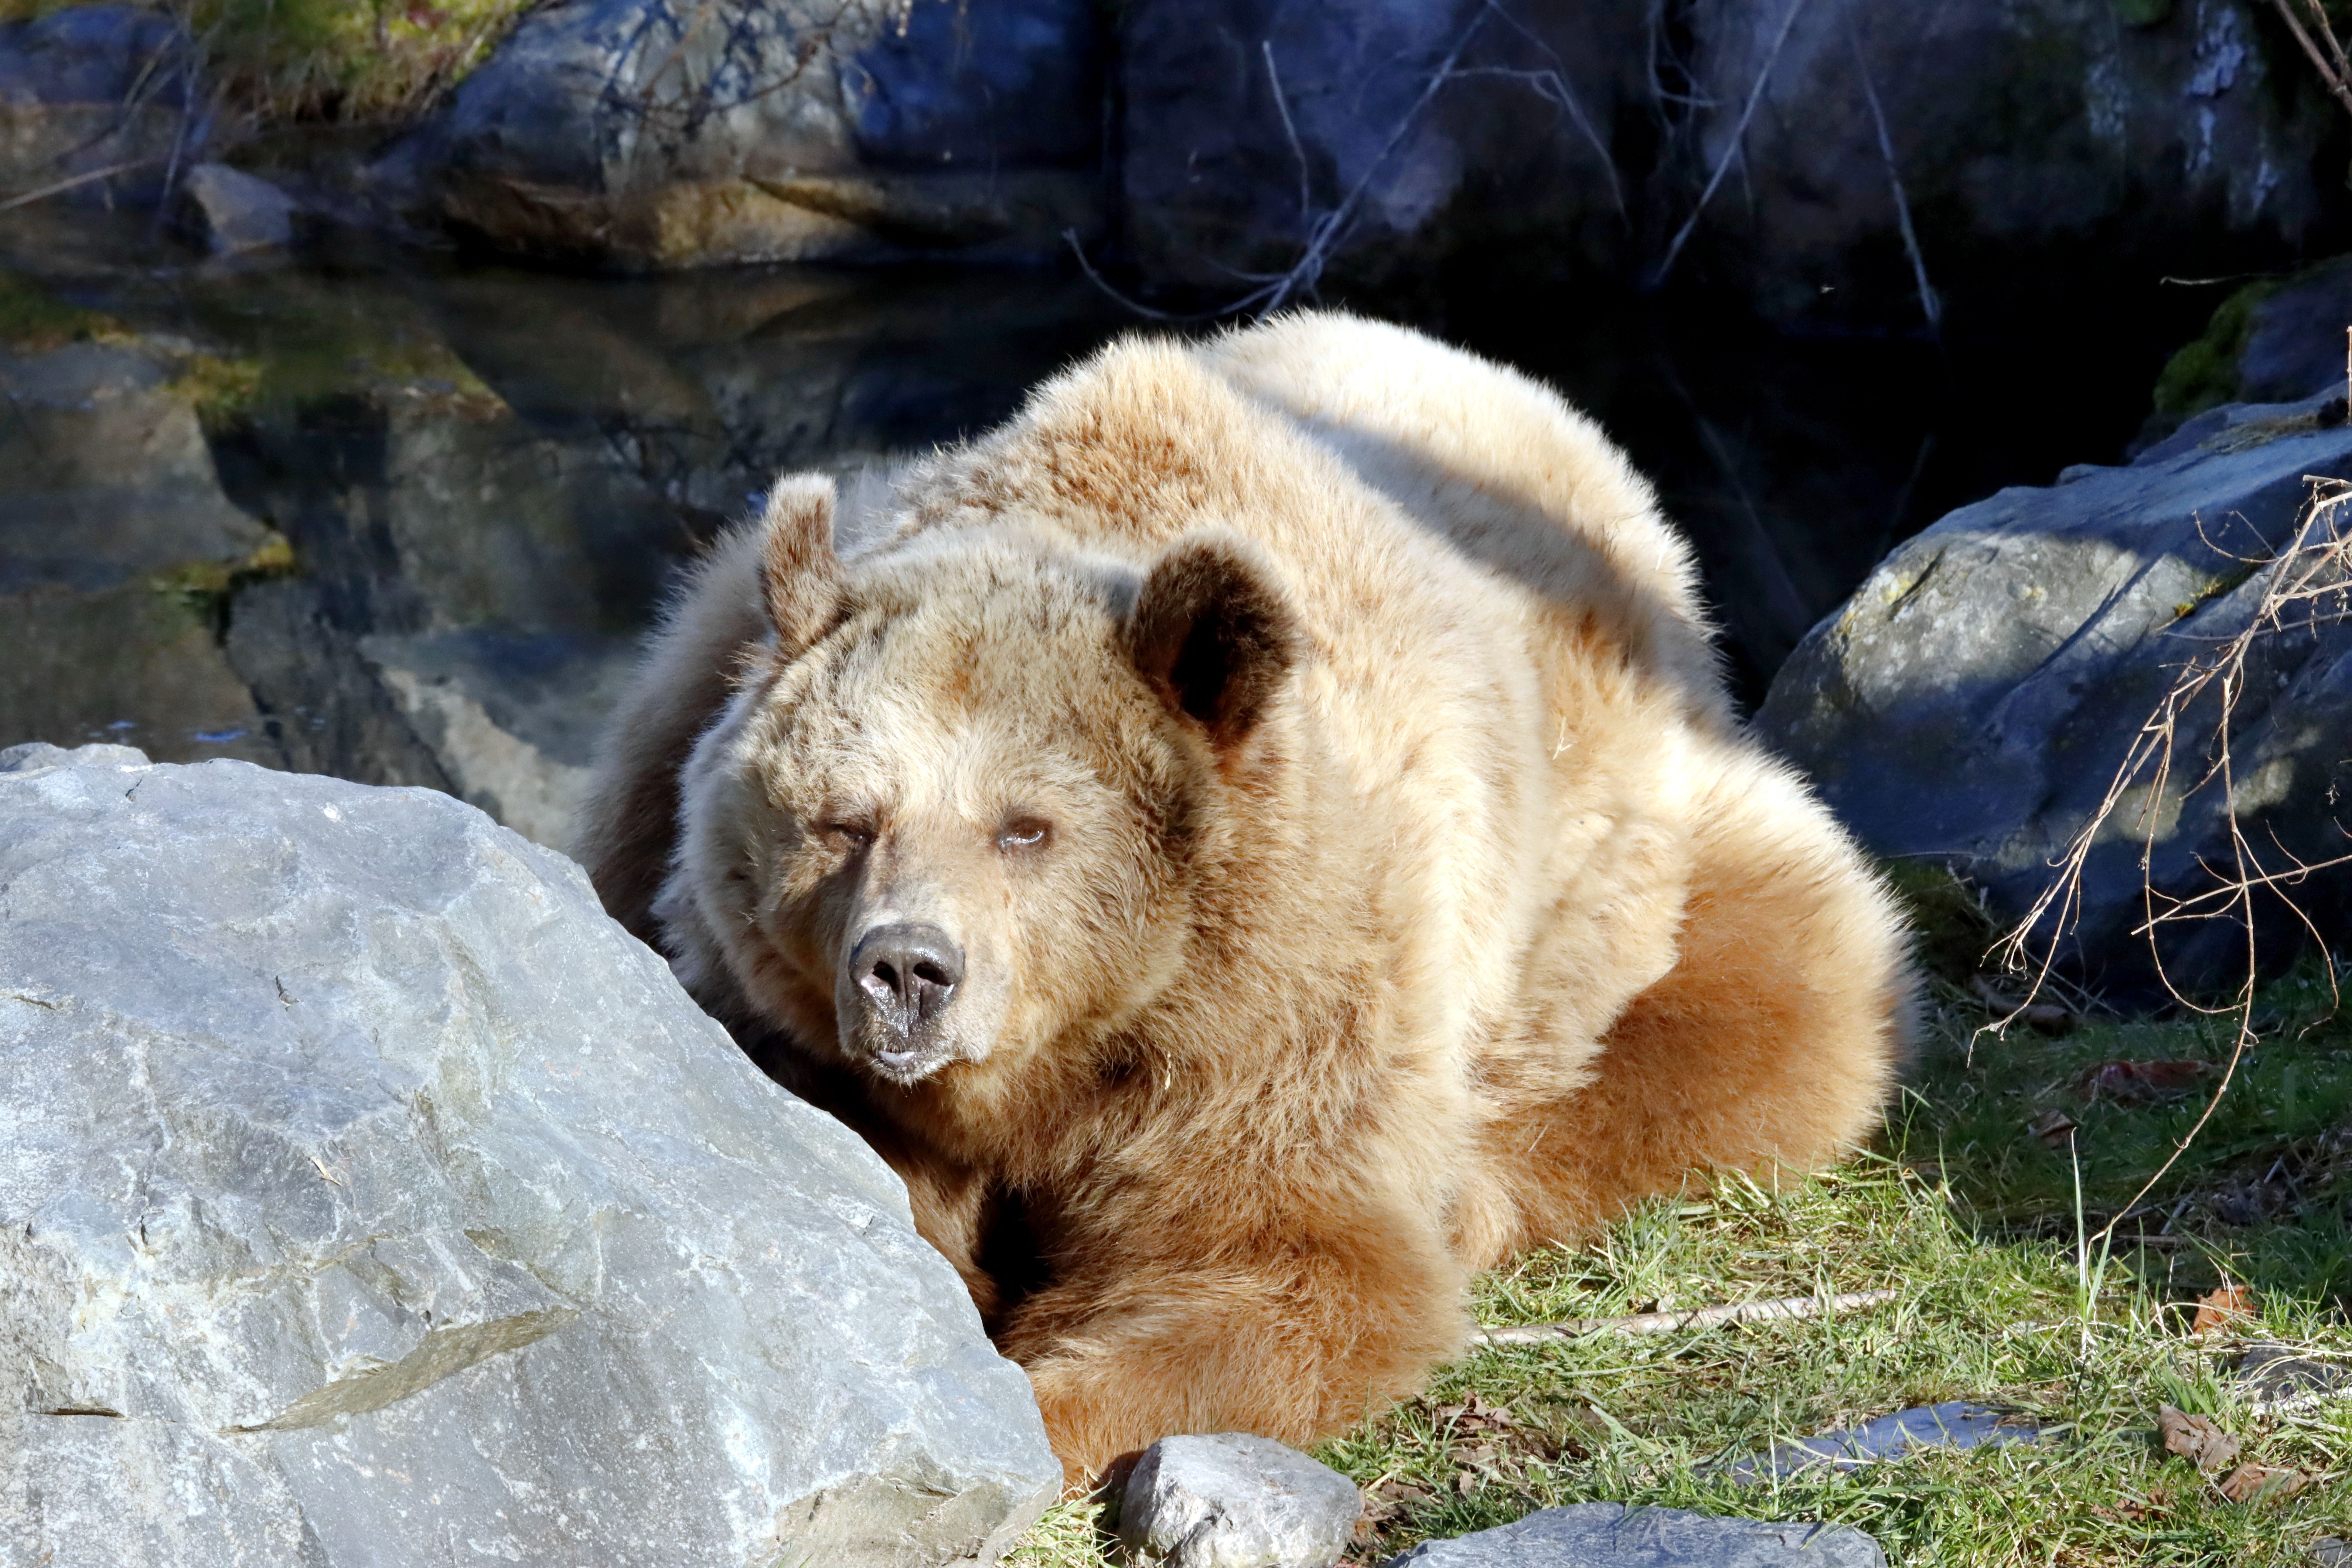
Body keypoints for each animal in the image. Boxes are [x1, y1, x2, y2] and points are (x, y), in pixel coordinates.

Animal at [576, 310, 1914, 1484]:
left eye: (1026, 826)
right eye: (846, 819)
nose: (906, 970)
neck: (1074, 1053)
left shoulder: (1284, 1013)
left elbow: (1284, 1270)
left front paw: (1040, 1387)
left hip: (1616, 847)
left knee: (1788, 994)